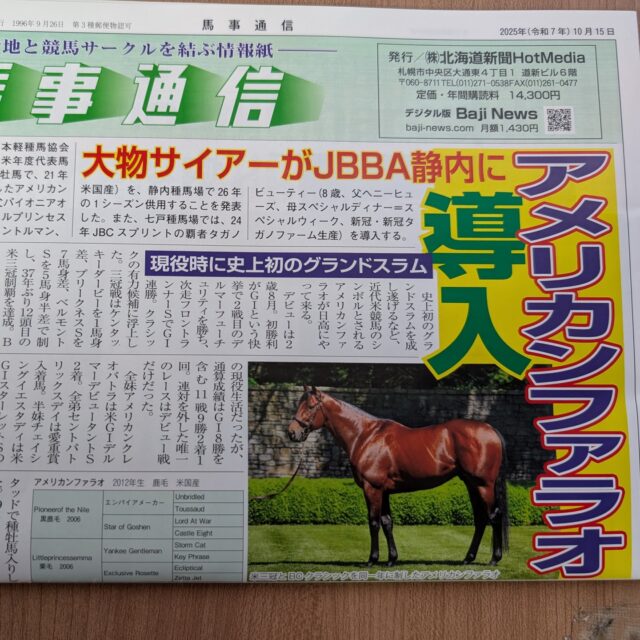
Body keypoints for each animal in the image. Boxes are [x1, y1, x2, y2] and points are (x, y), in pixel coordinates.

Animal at [286, 386, 509, 567]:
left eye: (310, 406)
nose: (292, 433)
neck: (365, 435)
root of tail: (490, 430)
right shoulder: (384, 491)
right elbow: (387, 522)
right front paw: (392, 559)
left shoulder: (372, 488)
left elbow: (374, 522)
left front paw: (372, 560)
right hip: (471, 484)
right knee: (480, 519)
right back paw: (468, 558)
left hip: (483, 485)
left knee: (494, 515)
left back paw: (494, 559)